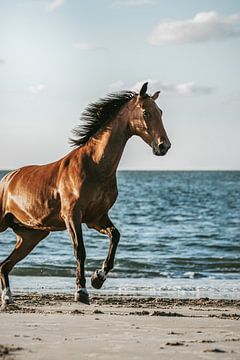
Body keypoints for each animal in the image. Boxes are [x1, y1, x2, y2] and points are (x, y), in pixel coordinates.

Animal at [0, 81, 172, 304]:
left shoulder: (96, 218)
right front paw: (81, 291)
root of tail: (7, 179)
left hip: (31, 236)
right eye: (146, 112)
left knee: (4, 266)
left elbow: (115, 236)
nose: (164, 146)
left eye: (160, 112)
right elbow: (80, 251)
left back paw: (7, 297)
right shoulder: (72, 216)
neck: (95, 166)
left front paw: (98, 278)